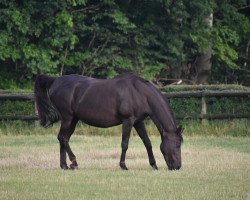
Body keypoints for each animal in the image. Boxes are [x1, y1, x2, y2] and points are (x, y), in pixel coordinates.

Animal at [34, 73, 184, 170]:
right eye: (177, 145)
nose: (177, 167)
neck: (139, 92)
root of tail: (55, 80)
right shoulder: (128, 121)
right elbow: (125, 144)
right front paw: (123, 165)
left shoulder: (138, 122)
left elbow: (147, 142)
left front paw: (154, 165)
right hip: (67, 118)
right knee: (63, 138)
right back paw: (74, 162)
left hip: (73, 120)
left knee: (63, 139)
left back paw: (65, 165)